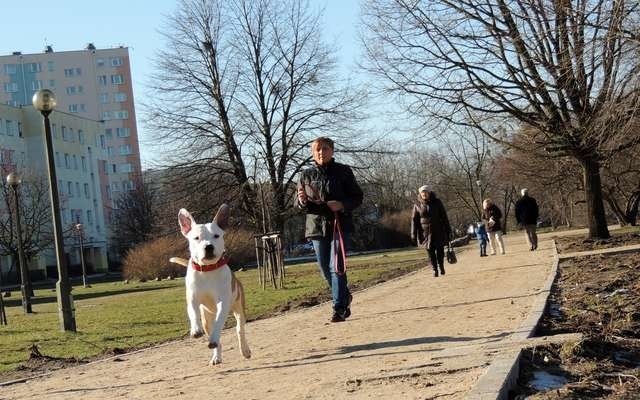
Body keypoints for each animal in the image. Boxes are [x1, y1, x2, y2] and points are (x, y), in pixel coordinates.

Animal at [172, 206, 252, 366]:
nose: (208, 246)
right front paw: (195, 330)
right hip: (207, 318)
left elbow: (220, 320)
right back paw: (216, 355)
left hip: (239, 308)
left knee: (239, 330)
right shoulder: (193, 299)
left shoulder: (223, 302)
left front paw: (215, 336)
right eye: (196, 238)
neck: (207, 270)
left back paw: (244, 350)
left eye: (216, 235)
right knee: (213, 333)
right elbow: (193, 312)